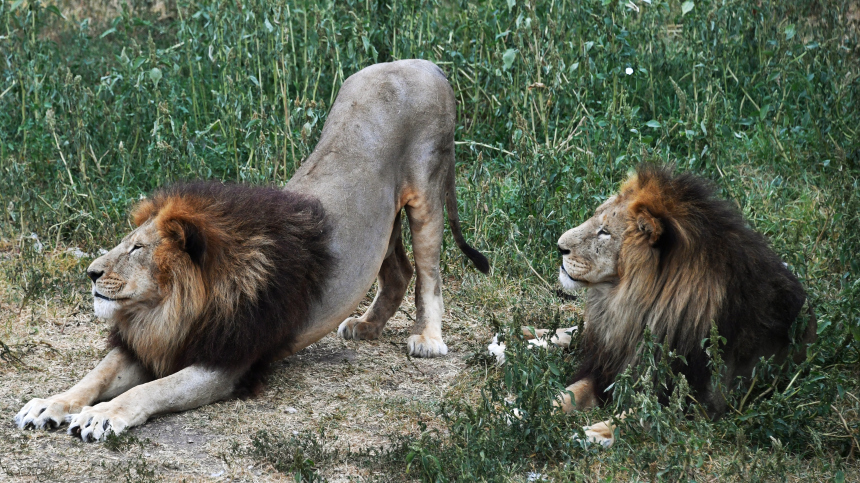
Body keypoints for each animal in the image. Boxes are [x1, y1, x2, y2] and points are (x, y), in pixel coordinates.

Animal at [13, 60, 488, 442]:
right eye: (122, 244)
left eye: (138, 248)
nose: (91, 273)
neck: (171, 307)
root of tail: (422, 62)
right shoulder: (154, 344)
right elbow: (95, 375)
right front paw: (50, 404)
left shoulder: (223, 363)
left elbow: (150, 389)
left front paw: (103, 415)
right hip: (382, 224)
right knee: (398, 272)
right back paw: (366, 326)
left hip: (426, 192)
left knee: (429, 275)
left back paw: (428, 340)